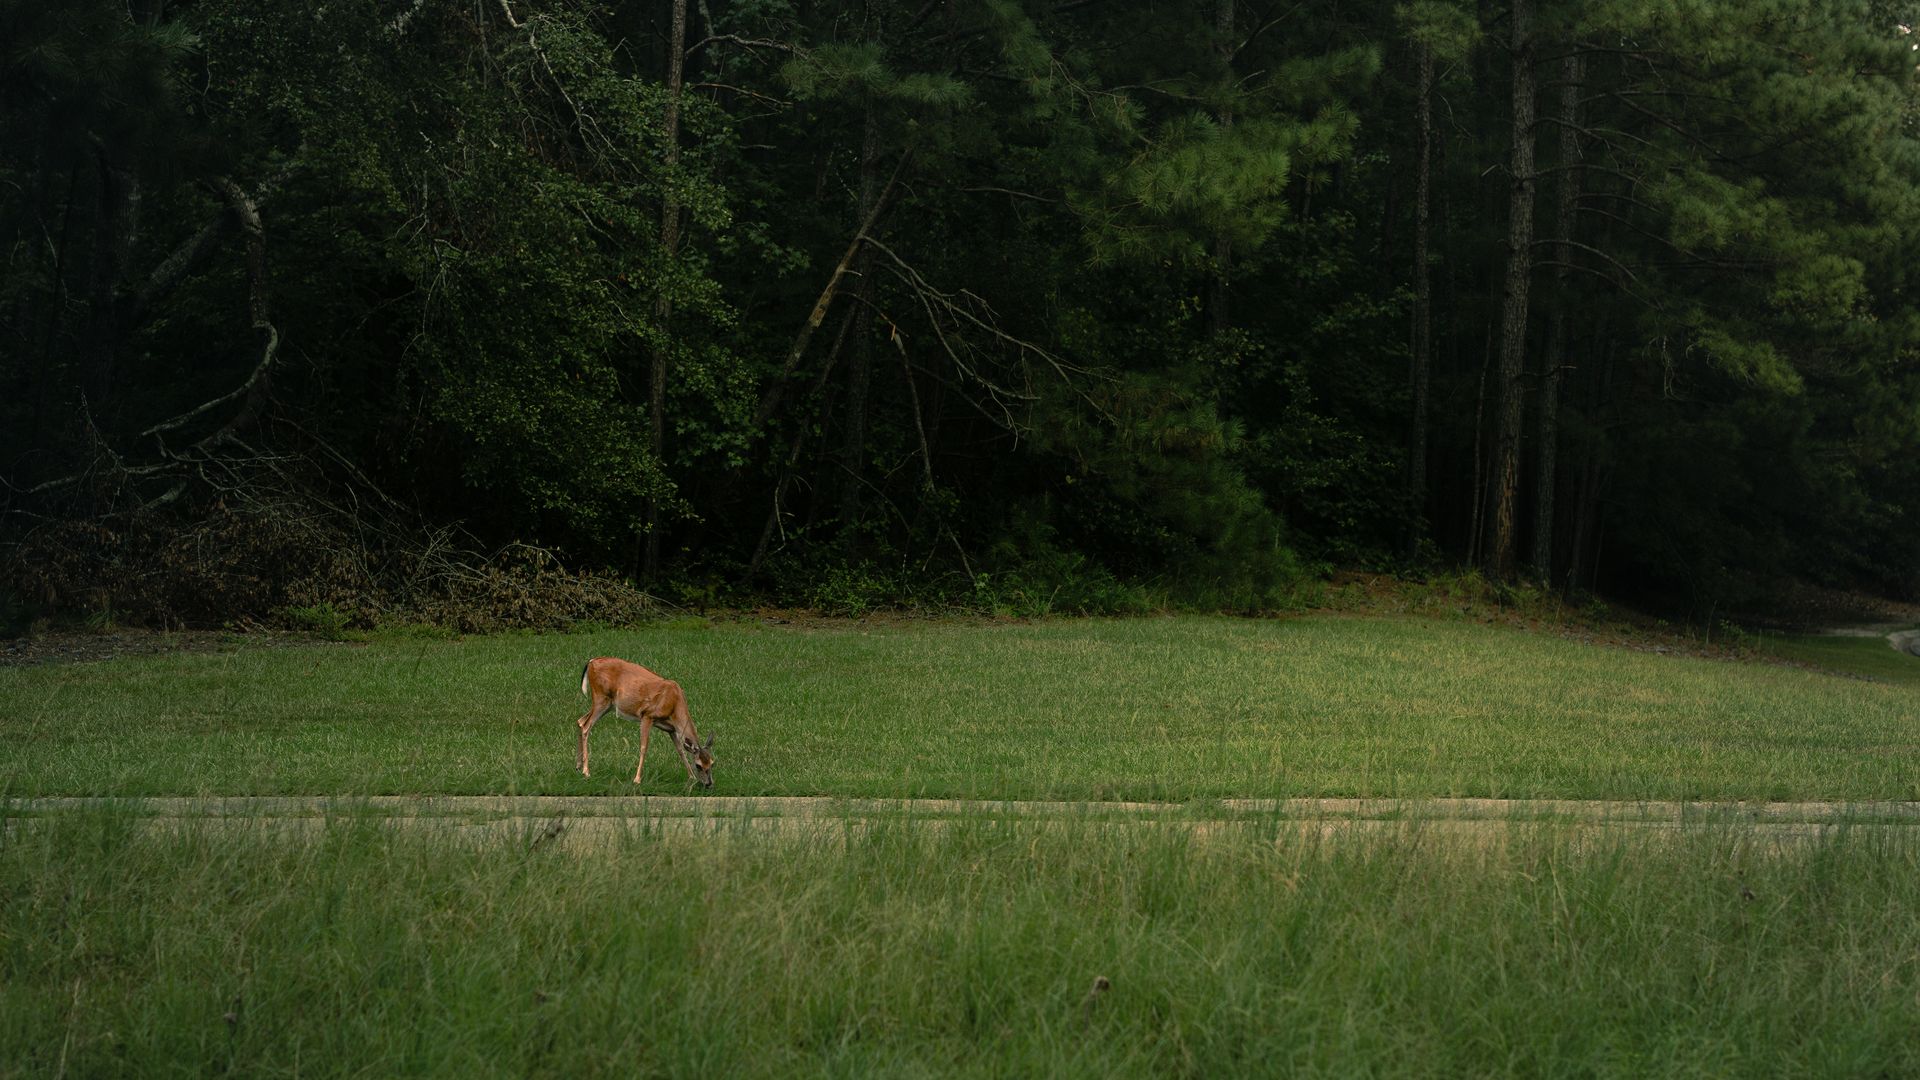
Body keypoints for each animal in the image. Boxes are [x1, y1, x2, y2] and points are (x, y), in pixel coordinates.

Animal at [575, 656, 715, 788]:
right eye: (698, 765)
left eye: (712, 763)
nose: (709, 784)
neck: (674, 704)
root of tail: (591, 662)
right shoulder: (647, 715)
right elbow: (644, 746)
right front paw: (637, 779)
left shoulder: (671, 729)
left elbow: (680, 750)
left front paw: (691, 777)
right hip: (601, 697)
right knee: (586, 726)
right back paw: (586, 771)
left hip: (608, 705)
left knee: (580, 721)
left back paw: (578, 766)